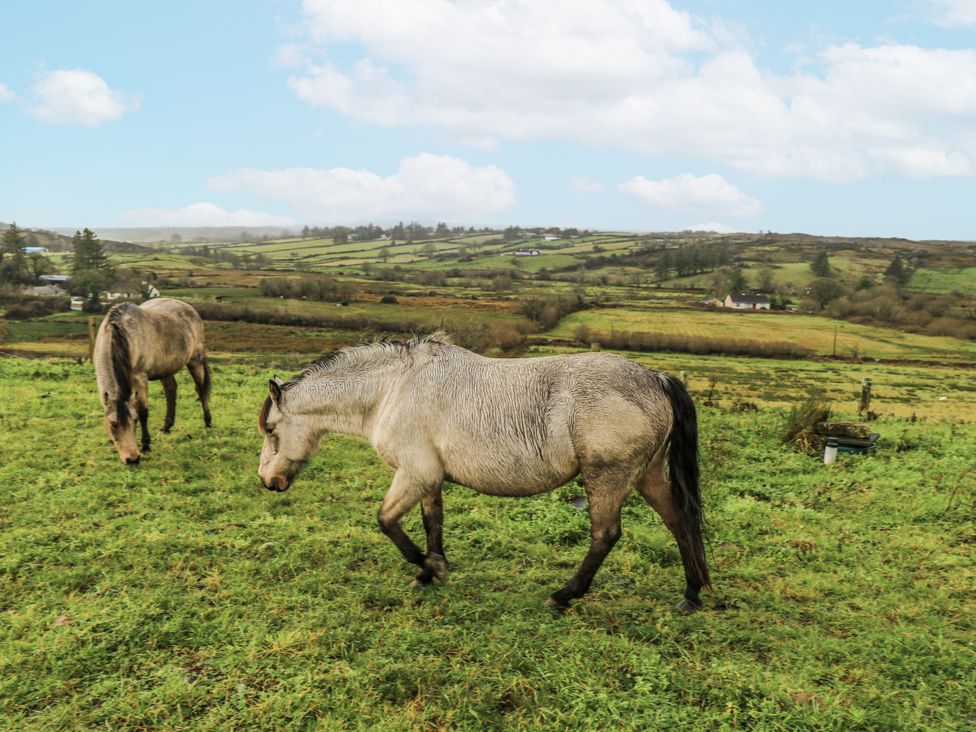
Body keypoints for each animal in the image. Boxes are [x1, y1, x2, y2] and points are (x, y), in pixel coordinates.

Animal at [94, 298, 212, 464]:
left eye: (134, 421)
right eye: (113, 424)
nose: (132, 459)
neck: (121, 334)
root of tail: (188, 307)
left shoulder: (140, 379)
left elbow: (143, 411)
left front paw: (145, 446)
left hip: (195, 361)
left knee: (201, 391)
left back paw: (208, 422)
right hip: (166, 369)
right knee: (171, 390)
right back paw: (166, 427)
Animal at [257, 333, 709, 611]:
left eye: (271, 430)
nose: (267, 482)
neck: (392, 389)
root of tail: (655, 378)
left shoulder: (414, 474)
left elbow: (387, 522)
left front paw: (430, 567)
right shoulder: (428, 478)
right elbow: (432, 522)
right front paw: (430, 570)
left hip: (606, 477)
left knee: (605, 535)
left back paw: (564, 595)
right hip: (646, 475)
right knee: (679, 521)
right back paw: (691, 594)